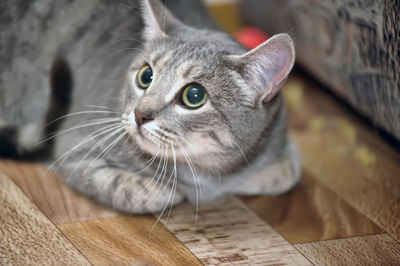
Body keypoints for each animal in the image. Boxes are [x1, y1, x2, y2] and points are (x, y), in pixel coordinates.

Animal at [0, 0, 300, 213]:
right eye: (146, 76)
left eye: (194, 96)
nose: (139, 114)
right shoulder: (75, 146)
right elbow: (142, 191)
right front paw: (170, 190)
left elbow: (288, 173)